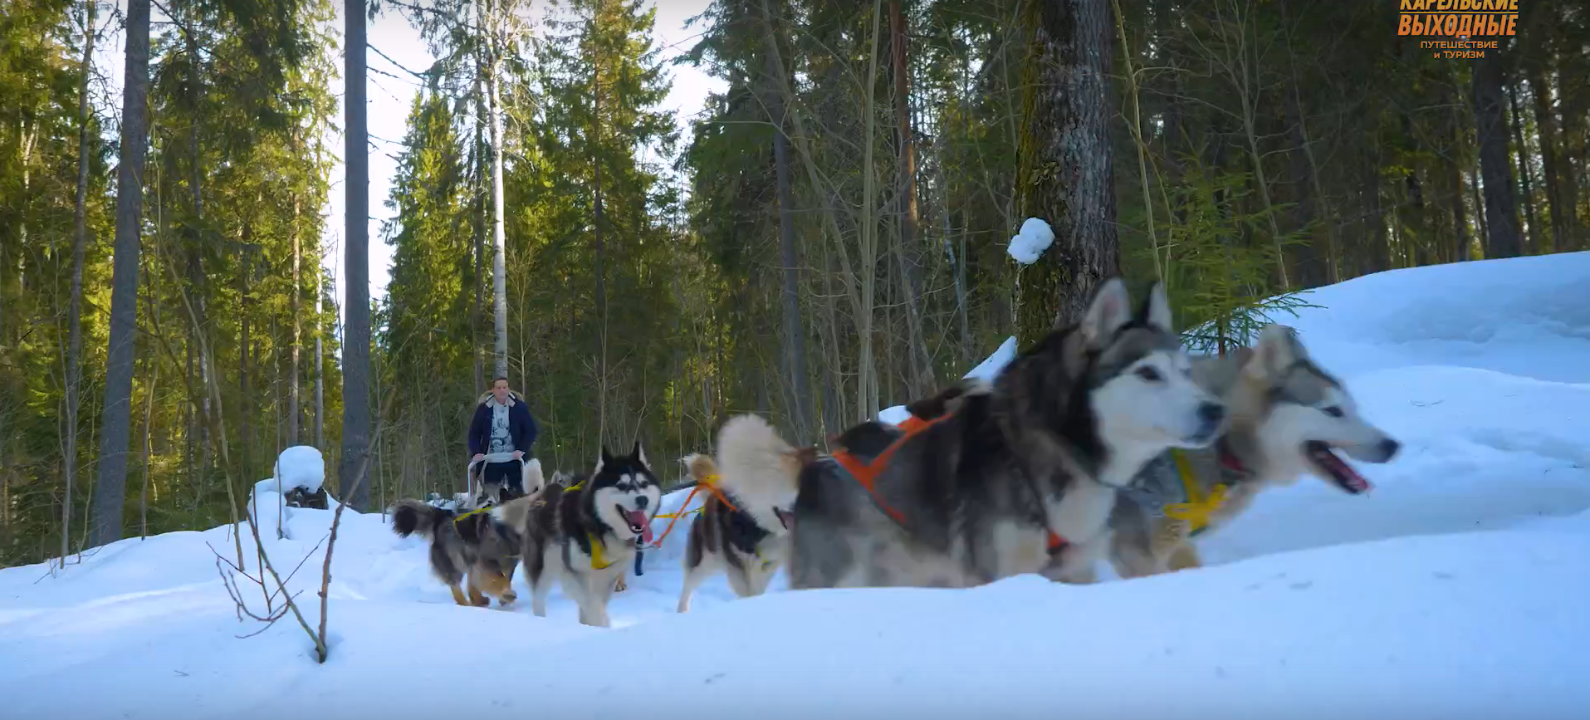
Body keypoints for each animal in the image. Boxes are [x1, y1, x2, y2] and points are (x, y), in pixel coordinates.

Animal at [387, 492, 531, 607]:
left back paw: (479, 600)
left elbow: (504, 579)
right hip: (454, 561)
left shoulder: (507, 565)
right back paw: (467, 603)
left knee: (470, 585)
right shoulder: (485, 563)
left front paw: (504, 597)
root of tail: (441, 515)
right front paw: (507, 594)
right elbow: (497, 579)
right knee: (456, 586)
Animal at [518, 438, 661, 623]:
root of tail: (540, 494)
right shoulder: (574, 575)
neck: (600, 525)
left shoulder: (607, 578)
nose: (642, 499)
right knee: (538, 598)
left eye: (644, 484)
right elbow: (593, 606)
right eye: (621, 485)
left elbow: (593, 607)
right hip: (542, 566)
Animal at [728, 278, 1221, 588]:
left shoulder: (1071, 573)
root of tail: (813, 465)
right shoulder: (1005, 573)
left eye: (1185, 371)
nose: (1215, 410)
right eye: (1148, 373)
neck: (1046, 447)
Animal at [1106, 322, 1405, 575]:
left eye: (1353, 408)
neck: (1222, 444)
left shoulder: (1179, 547)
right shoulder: (1138, 556)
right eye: (1332, 411)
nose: (1392, 446)